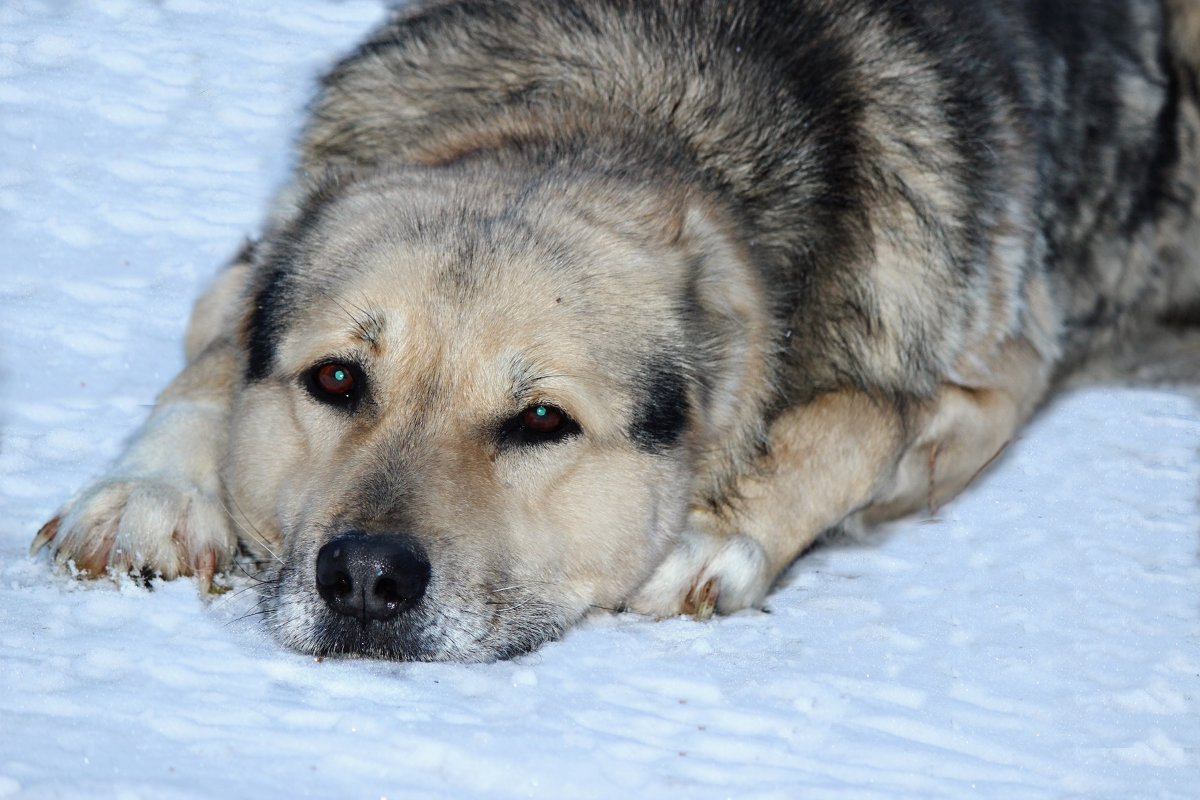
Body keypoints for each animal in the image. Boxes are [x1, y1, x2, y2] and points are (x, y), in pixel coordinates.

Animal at [32, 0, 1200, 662]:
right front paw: (152, 488)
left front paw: (714, 531)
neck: (608, 110)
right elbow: (216, 347)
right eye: (334, 380)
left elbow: (865, 417)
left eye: (542, 420)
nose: (363, 577)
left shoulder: (1002, 363)